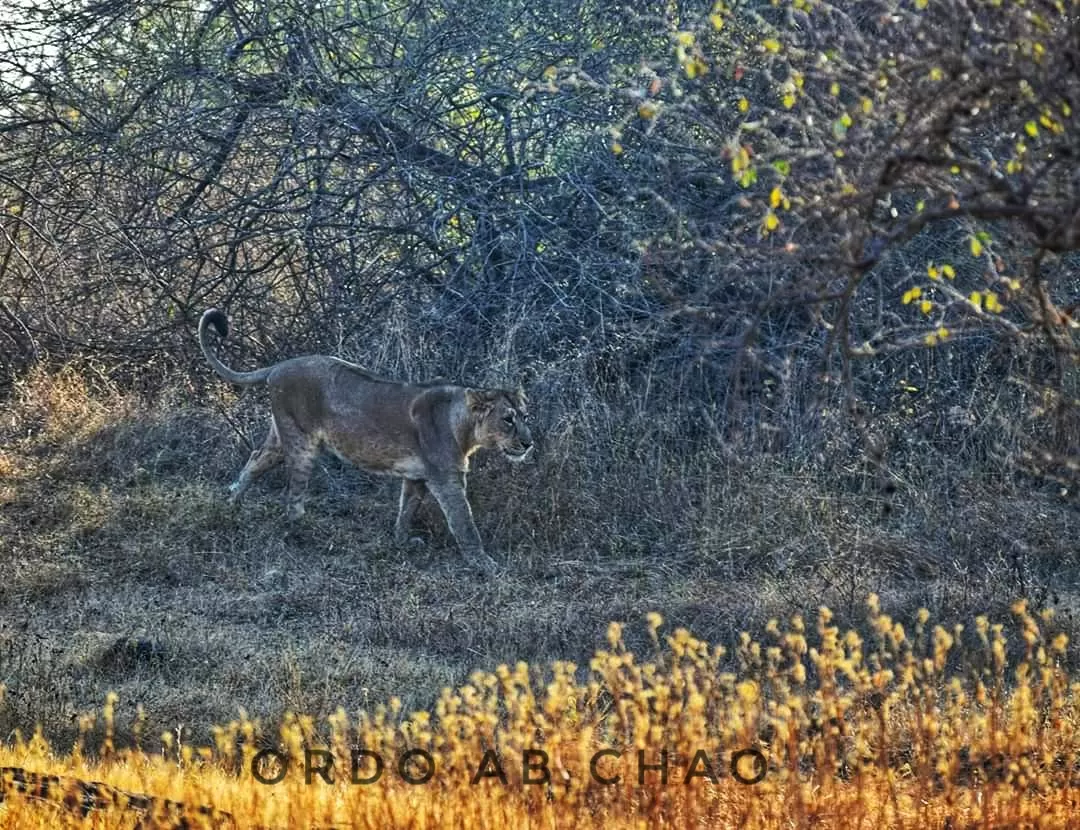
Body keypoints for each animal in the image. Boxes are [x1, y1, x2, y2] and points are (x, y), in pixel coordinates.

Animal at [196, 306, 533, 574]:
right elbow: (464, 523)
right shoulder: (446, 479)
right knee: (292, 497)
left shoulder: (416, 477)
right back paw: (302, 529)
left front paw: (401, 542)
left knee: (255, 460)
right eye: (508, 419)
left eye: (525, 415)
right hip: (301, 442)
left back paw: (232, 503)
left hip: (280, 437)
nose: (529, 443)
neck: (462, 425)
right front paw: (485, 564)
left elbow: (406, 510)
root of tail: (280, 365)